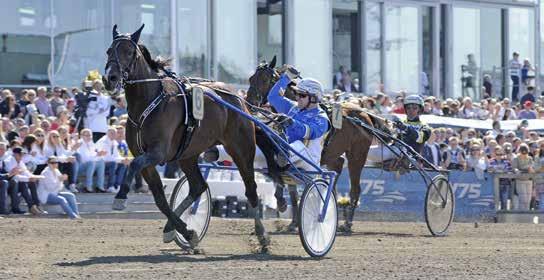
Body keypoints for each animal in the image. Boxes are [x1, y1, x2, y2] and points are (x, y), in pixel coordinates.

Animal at [102, 24, 270, 249]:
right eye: (109, 51)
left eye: (129, 52)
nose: (109, 78)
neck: (150, 102)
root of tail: (240, 100)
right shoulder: (146, 157)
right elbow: (160, 199)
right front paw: (186, 231)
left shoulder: (157, 152)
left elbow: (134, 165)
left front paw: (120, 197)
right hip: (187, 155)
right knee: (198, 186)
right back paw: (174, 228)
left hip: (241, 149)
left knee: (251, 189)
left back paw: (262, 235)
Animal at [246, 57, 392, 232]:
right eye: (251, 78)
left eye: (265, 79)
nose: (250, 101)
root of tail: (365, 115)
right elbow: (292, 189)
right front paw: (293, 222)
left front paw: (281, 203)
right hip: (334, 155)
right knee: (337, 169)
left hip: (357, 157)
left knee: (355, 189)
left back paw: (347, 224)